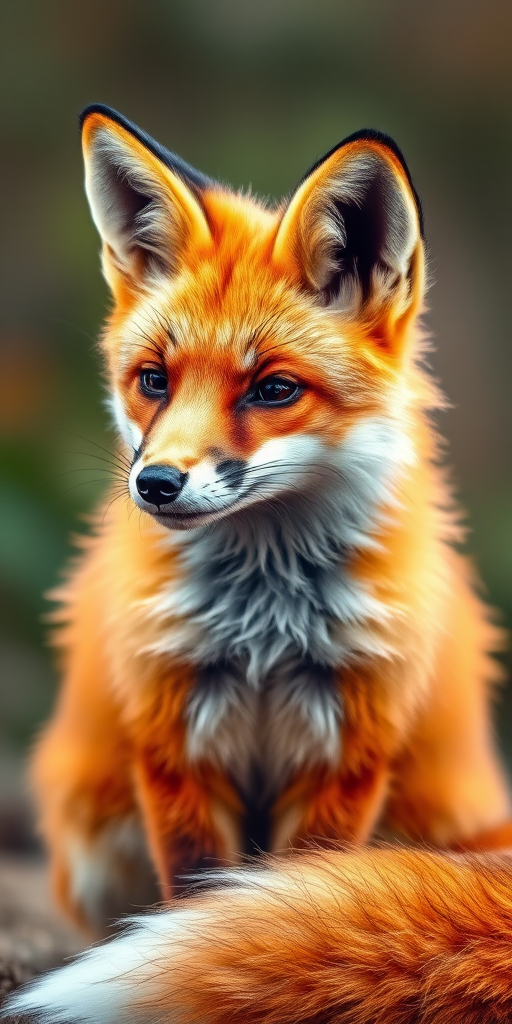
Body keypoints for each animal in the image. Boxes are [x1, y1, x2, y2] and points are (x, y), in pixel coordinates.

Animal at [5, 104, 512, 1024]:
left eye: (273, 389)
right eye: (153, 381)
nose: (156, 484)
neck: (265, 628)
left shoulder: (349, 744)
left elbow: (298, 885)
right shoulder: (175, 736)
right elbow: (198, 894)